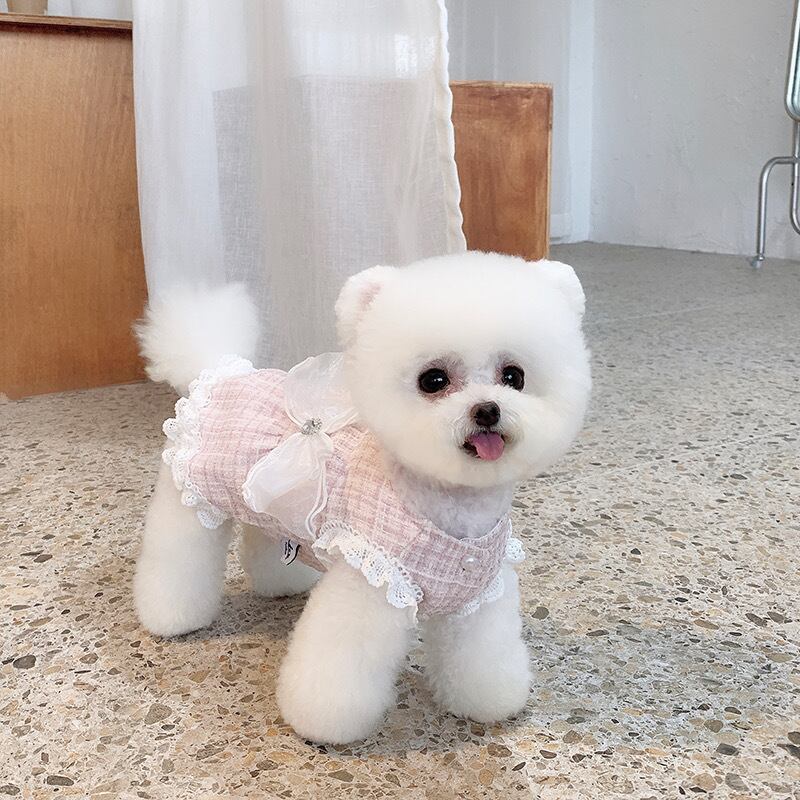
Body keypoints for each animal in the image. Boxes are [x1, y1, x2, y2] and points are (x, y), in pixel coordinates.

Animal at [133, 251, 591, 744]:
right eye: (433, 380)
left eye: (513, 376)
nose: (487, 409)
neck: (448, 511)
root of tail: (220, 370)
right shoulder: (370, 581)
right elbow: (341, 664)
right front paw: (321, 721)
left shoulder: (478, 600)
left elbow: (481, 659)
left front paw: (486, 700)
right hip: (189, 502)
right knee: (176, 558)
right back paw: (171, 616)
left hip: (272, 508)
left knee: (263, 539)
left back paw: (281, 583)